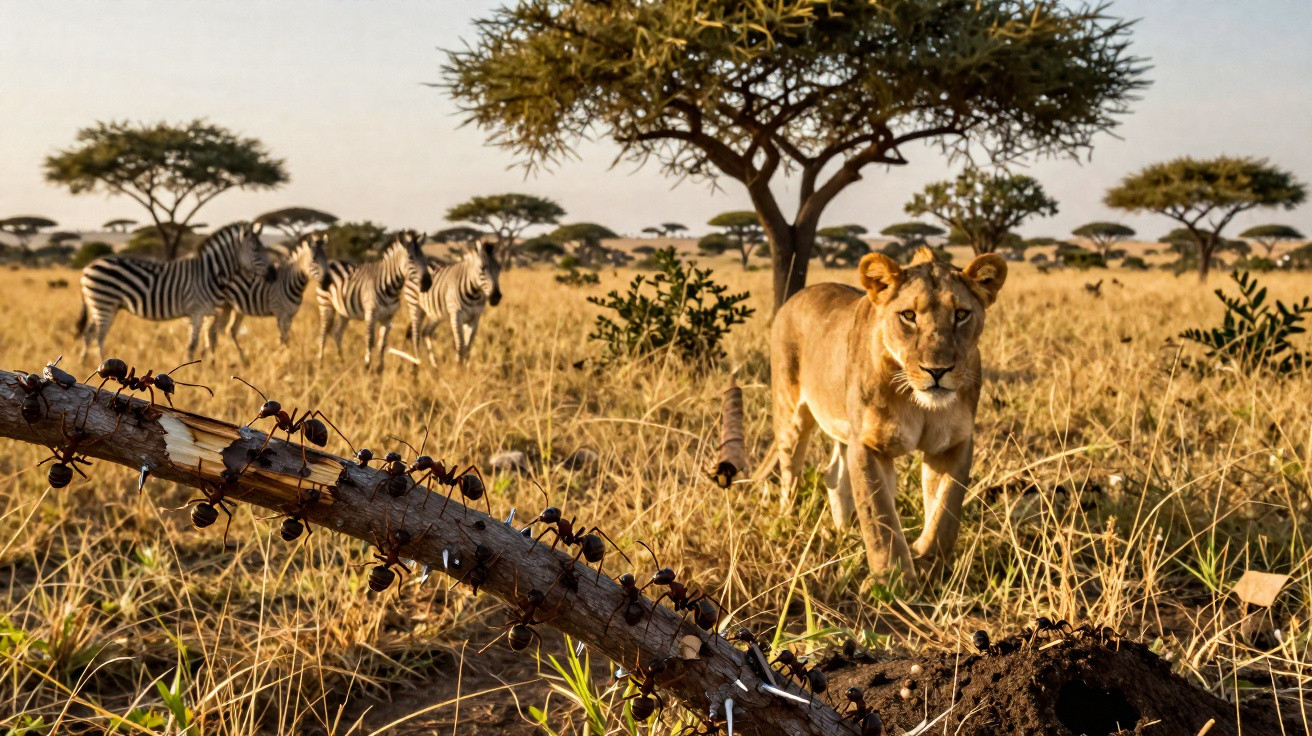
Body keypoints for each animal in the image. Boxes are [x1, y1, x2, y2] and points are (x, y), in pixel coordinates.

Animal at [76, 221, 271, 362]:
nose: (273, 274)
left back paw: (84, 362)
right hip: (104, 301)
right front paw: (191, 368)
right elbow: (193, 343)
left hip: (103, 305)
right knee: (99, 336)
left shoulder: (208, 311)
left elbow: (210, 336)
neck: (210, 273)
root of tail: (87, 267)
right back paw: (101, 364)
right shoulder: (197, 311)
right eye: (255, 249)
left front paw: (208, 362)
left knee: (88, 334)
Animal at [208, 232, 331, 363]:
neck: (290, 281)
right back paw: (212, 359)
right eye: (314, 260)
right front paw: (283, 358)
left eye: (326, 259)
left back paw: (241, 359)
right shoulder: (280, 313)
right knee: (211, 330)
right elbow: (282, 338)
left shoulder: (290, 315)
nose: (327, 282)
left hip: (231, 307)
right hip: (220, 305)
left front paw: (284, 356)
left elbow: (285, 338)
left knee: (228, 330)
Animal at [316, 230, 433, 369]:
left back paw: (342, 363)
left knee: (337, 333)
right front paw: (367, 367)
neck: (391, 287)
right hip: (325, 304)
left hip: (343, 311)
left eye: (424, 258)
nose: (427, 283)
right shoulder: (370, 314)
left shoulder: (388, 317)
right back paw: (320, 365)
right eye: (411, 258)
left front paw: (380, 370)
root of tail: (330, 261)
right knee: (323, 334)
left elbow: (382, 344)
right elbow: (370, 341)